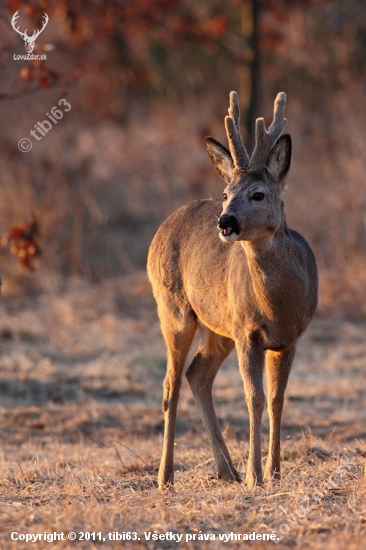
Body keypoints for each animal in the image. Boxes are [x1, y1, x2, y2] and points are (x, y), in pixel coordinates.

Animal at [146, 91, 318, 492]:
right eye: (226, 193)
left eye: (258, 194)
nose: (225, 221)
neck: (278, 306)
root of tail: (163, 226)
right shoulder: (247, 332)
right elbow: (253, 397)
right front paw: (257, 476)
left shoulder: (290, 338)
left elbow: (276, 399)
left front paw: (273, 472)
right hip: (174, 309)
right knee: (170, 384)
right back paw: (166, 477)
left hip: (219, 326)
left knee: (198, 375)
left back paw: (228, 471)